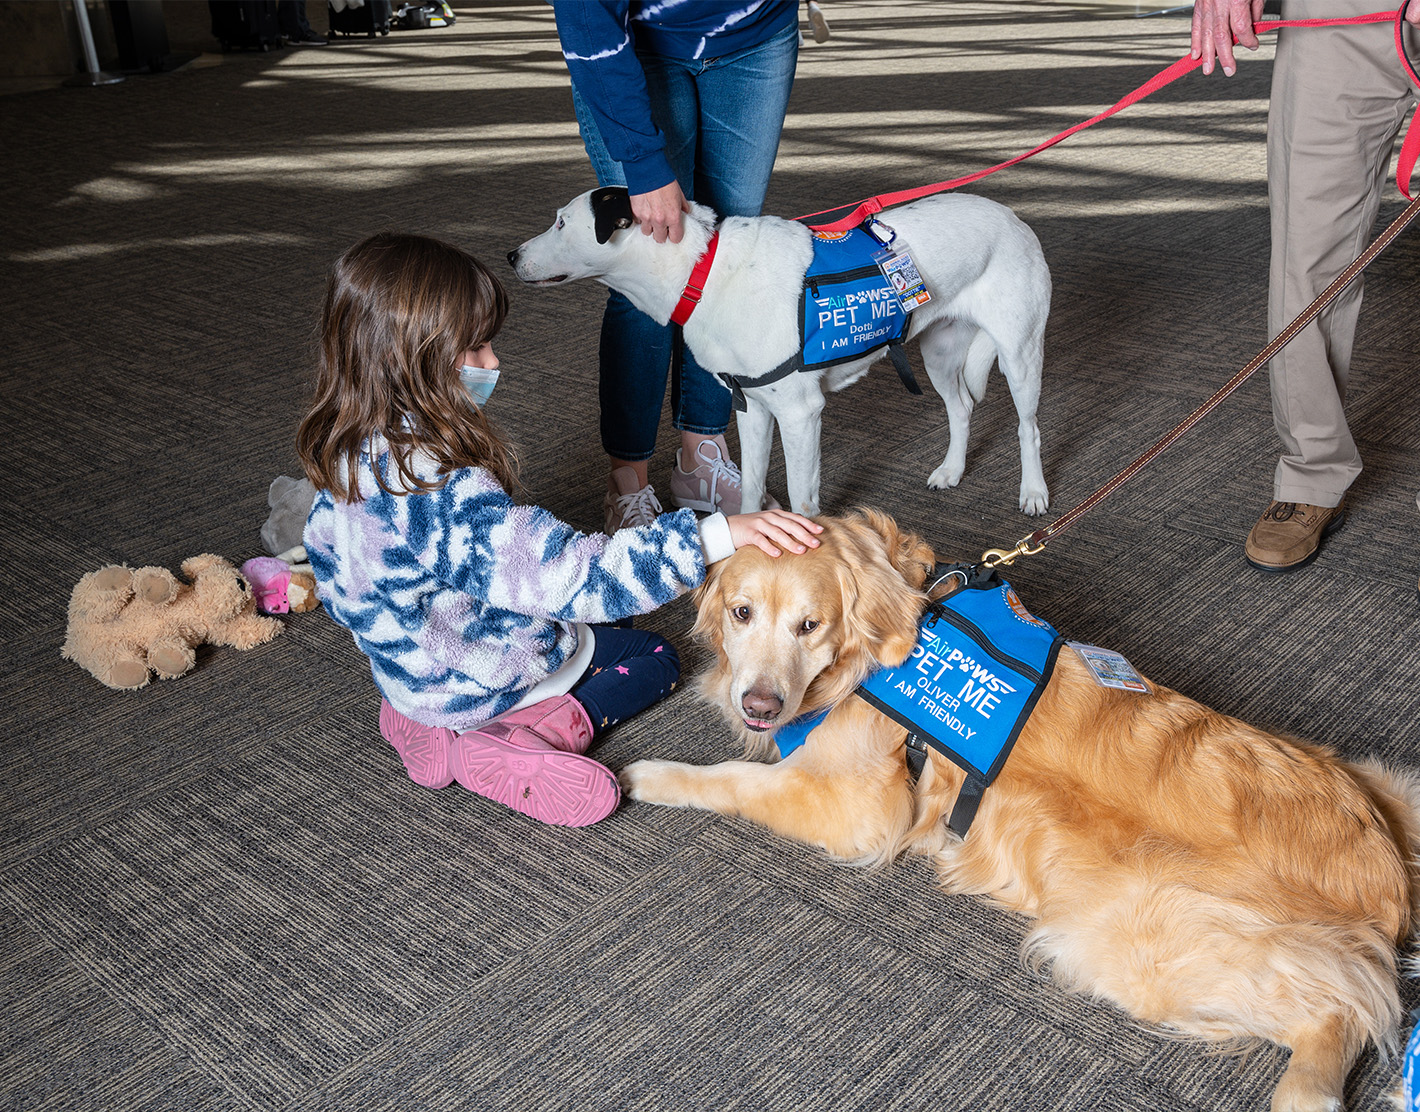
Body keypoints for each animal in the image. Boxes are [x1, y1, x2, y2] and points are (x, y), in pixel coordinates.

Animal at [505, 190, 1050, 516]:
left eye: (560, 223)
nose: (510, 256)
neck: (700, 271)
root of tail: (1010, 215)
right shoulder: (752, 407)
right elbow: (750, 487)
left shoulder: (800, 415)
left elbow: (802, 502)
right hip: (939, 353)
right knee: (961, 409)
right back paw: (953, 470)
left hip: (1021, 356)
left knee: (1029, 428)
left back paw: (1033, 492)